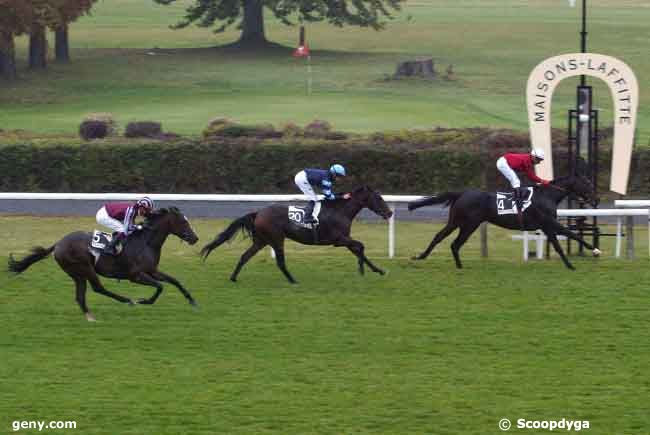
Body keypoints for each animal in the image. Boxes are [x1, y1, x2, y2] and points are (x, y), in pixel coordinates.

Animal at [7, 208, 199, 320]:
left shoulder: (152, 271)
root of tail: (58, 244)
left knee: (80, 296)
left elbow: (174, 281)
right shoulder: (135, 275)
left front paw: (192, 301)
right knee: (98, 288)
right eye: (183, 221)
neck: (145, 242)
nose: (195, 238)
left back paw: (90, 316)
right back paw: (128, 300)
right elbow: (160, 287)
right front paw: (144, 300)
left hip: (77, 274)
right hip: (85, 268)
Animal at [200, 186, 392, 284]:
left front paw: (377, 270)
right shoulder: (339, 239)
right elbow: (360, 246)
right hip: (277, 238)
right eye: (379, 198)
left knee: (245, 256)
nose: (389, 213)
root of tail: (259, 213)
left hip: (261, 241)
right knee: (280, 262)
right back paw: (293, 280)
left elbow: (359, 249)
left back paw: (233, 277)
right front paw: (362, 269)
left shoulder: (344, 240)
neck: (340, 211)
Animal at [408, 175, 600, 270]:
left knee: (442, 238)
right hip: (468, 224)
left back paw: (429, 258)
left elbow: (562, 241)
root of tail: (462, 193)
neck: (547, 196)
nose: (596, 199)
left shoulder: (547, 227)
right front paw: (592, 252)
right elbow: (569, 236)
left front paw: (573, 262)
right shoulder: (549, 223)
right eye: (587, 184)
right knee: (454, 243)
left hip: (458, 222)